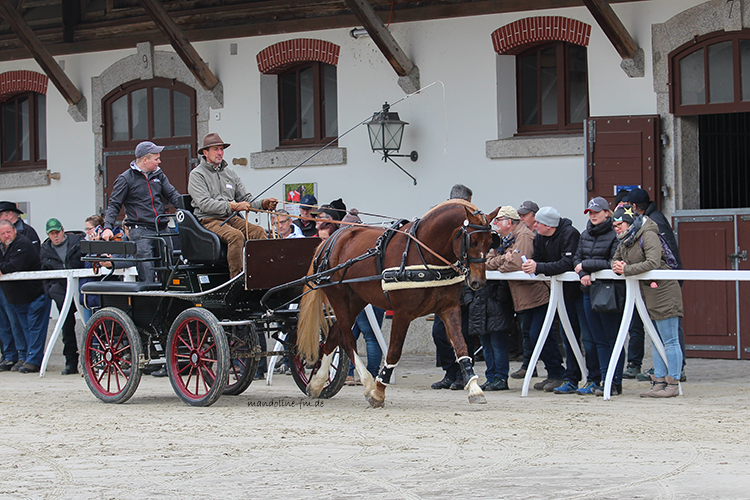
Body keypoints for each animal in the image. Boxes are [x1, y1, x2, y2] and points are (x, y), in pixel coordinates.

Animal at [296, 200, 499, 407]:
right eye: (472, 242)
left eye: (490, 242)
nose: (478, 282)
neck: (425, 256)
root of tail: (328, 242)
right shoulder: (402, 313)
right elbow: (394, 352)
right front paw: (378, 392)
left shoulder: (449, 309)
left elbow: (461, 347)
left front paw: (474, 389)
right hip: (339, 298)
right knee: (346, 339)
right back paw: (367, 382)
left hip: (357, 300)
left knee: (333, 337)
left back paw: (317, 384)